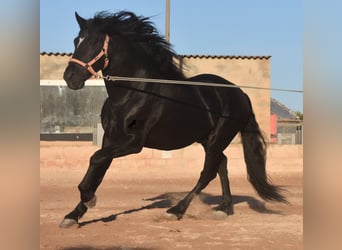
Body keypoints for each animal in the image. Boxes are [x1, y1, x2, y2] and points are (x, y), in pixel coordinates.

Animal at [60, 10, 286, 228]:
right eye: (76, 40)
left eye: (94, 42)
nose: (70, 77)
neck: (133, 93)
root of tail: (241, 94)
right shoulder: (110, 139)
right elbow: (98, 168)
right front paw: (73, 215)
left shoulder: (133, 143)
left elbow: (96, 159)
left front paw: (89, 199)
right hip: (207, 139)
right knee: (222, 164)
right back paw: (223, 208)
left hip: (218, 138)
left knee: (208, 172)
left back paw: (176, 210)